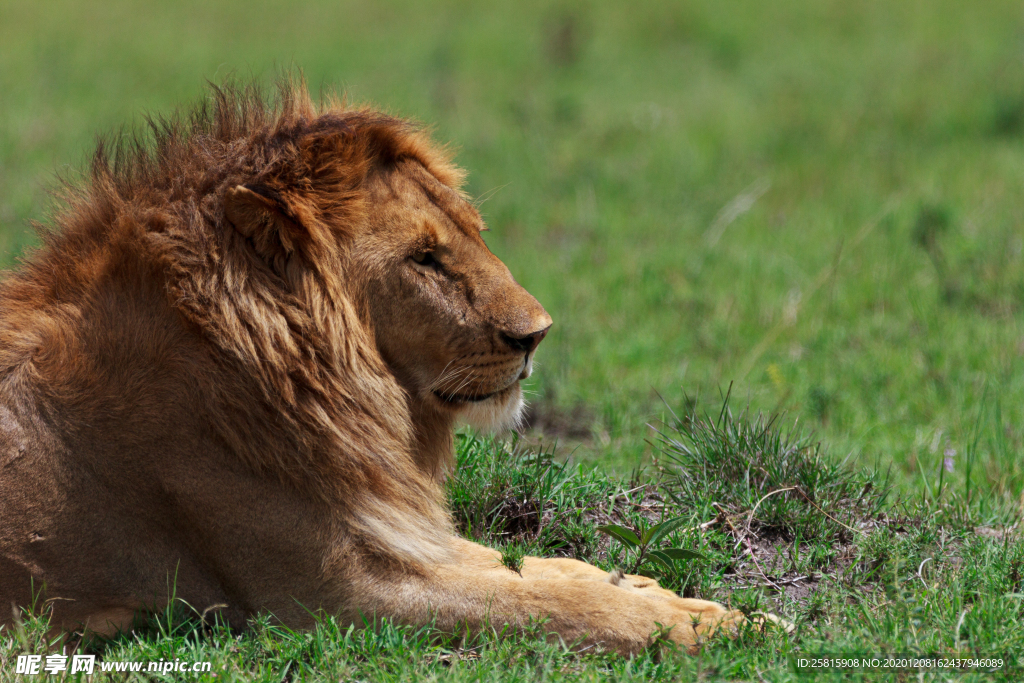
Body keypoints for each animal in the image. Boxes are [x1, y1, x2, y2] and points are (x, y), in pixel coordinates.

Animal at [0, 81, 745, 655]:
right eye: (424, 258)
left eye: (474, 233)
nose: (536, 335)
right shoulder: (339, 596)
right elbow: (539, 604)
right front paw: (714, 625)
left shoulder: (394, 530)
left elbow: (537, 570)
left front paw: (664, 592)